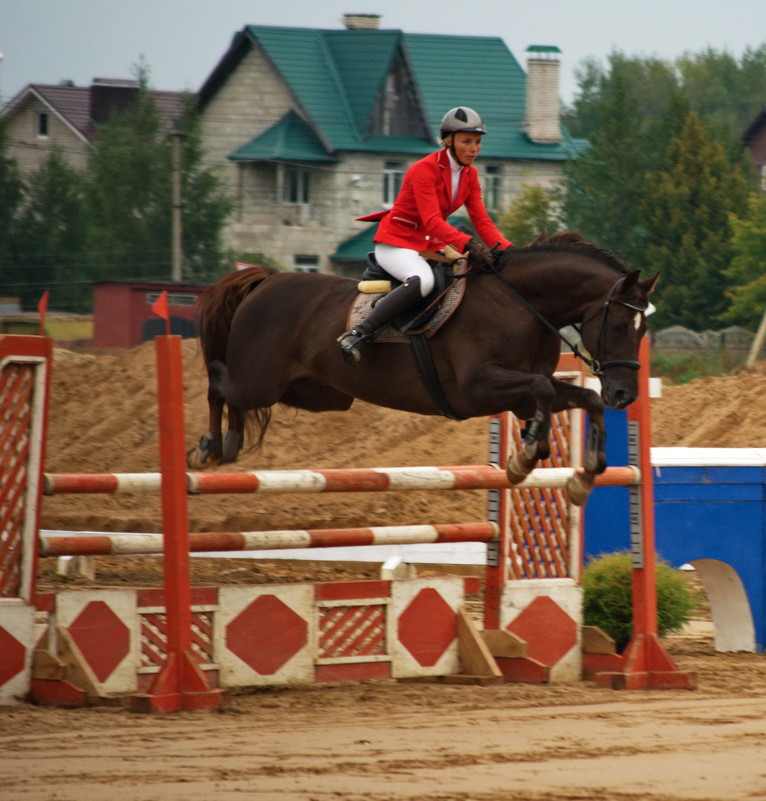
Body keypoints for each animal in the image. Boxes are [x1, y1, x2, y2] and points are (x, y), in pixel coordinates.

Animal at [192, 233, 660, 506]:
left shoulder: (526, 394)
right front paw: (525, 457)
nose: (625, 395)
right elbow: (544, 395)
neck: (521, 302)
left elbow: (585, 399)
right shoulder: (478, 390)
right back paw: (209, 447)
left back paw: (230, 443)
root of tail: (267, 281)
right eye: (620, 325)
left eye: (644, 329)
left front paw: (583, 476)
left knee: (235, 397)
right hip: (260, 380)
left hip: (317, 394)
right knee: (219, 384)